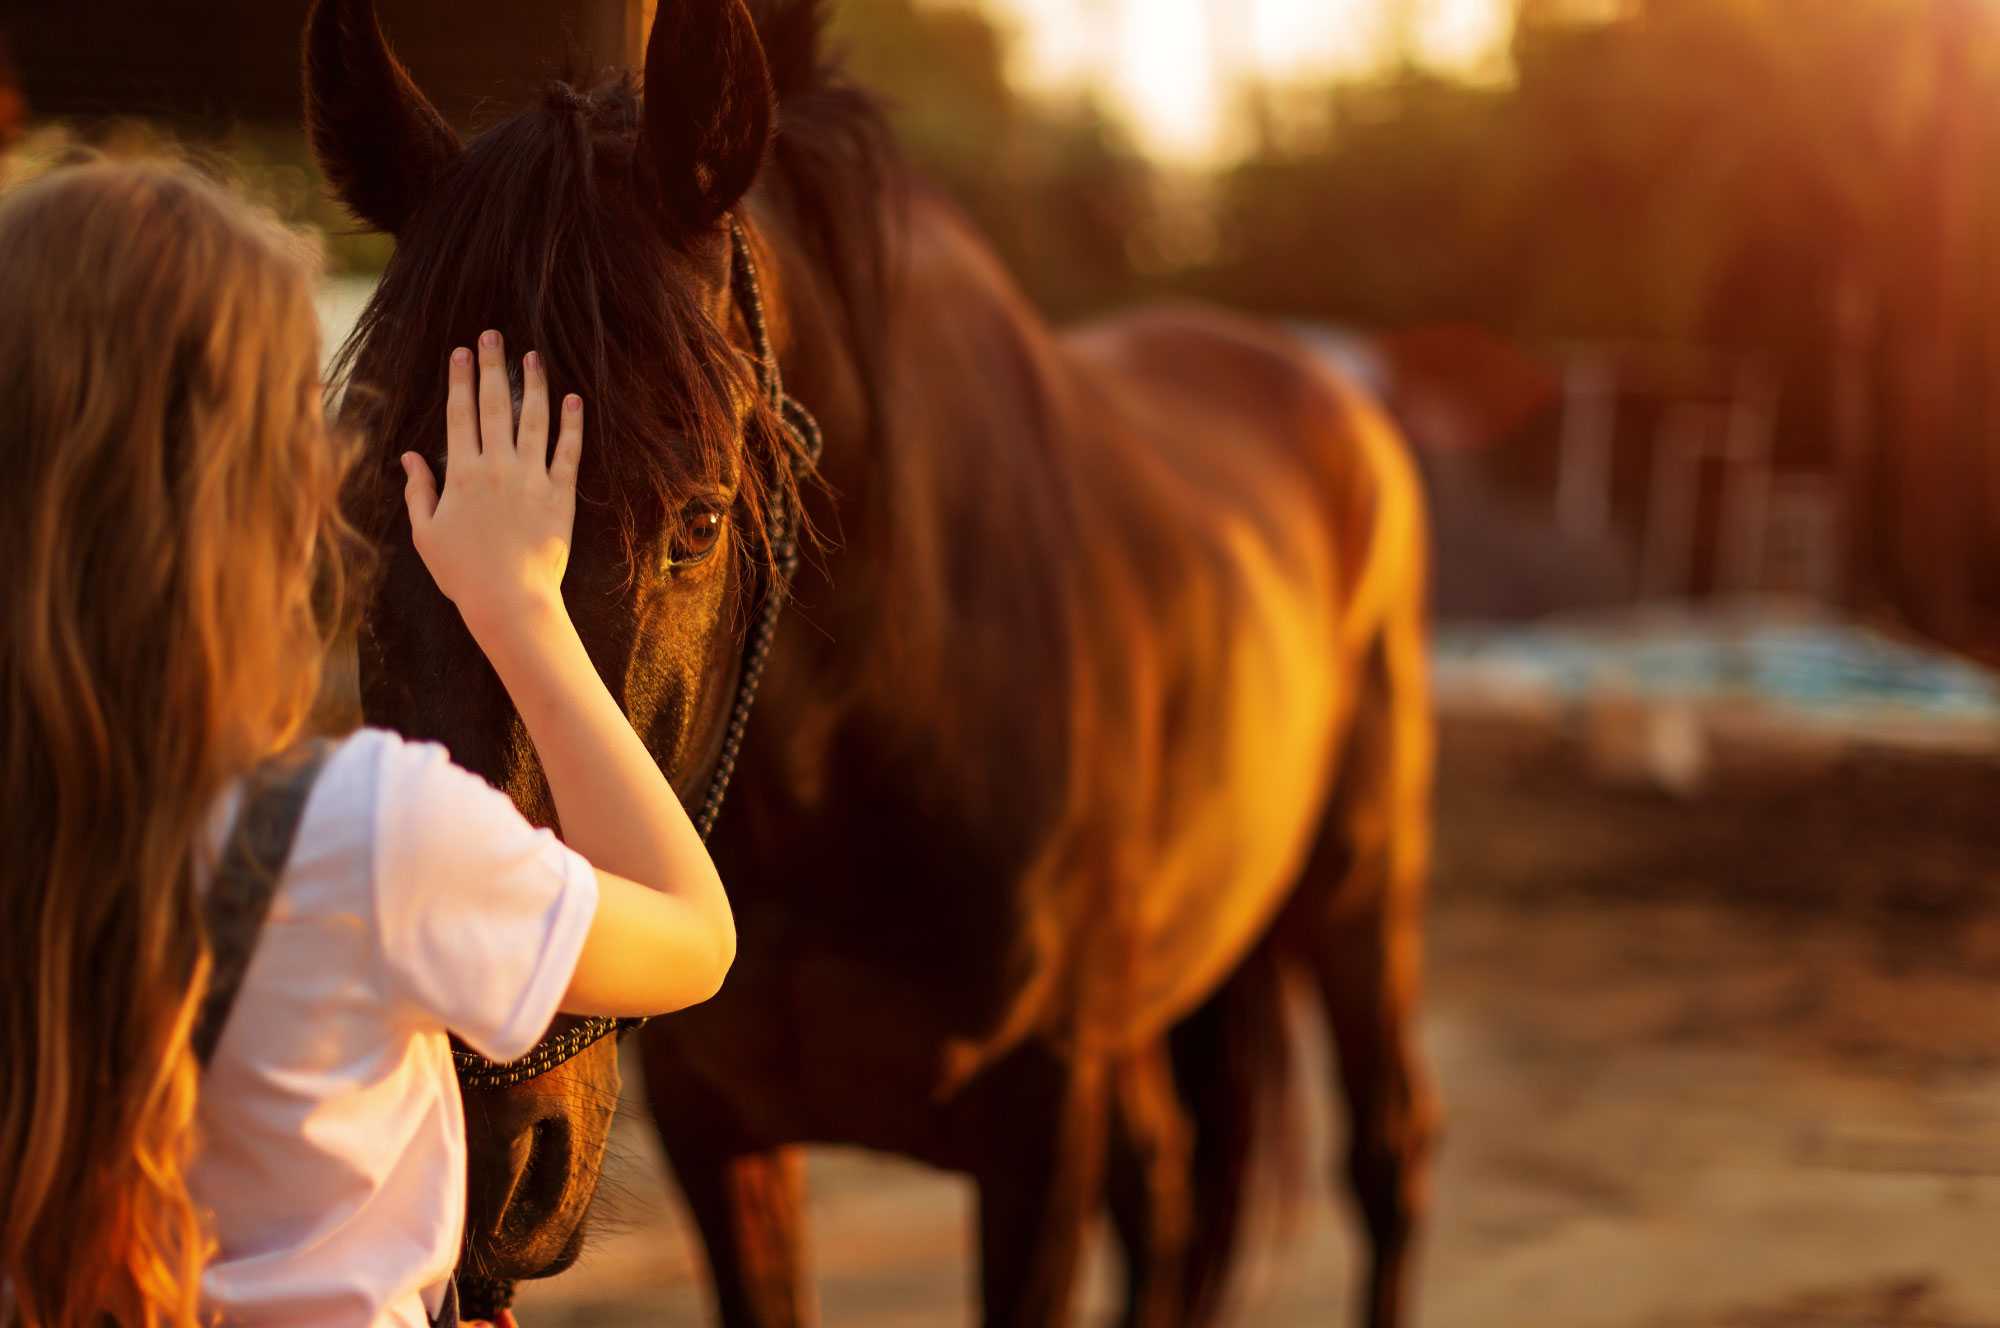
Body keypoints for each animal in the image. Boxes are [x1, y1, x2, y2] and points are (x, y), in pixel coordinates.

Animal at [310, 2, 1440, 1325]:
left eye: (699, 522)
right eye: (365, 516)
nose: (473, 1154)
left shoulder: (1039, 1130)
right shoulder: (721, 1127)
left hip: (1360, 892)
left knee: (1383, 1153)